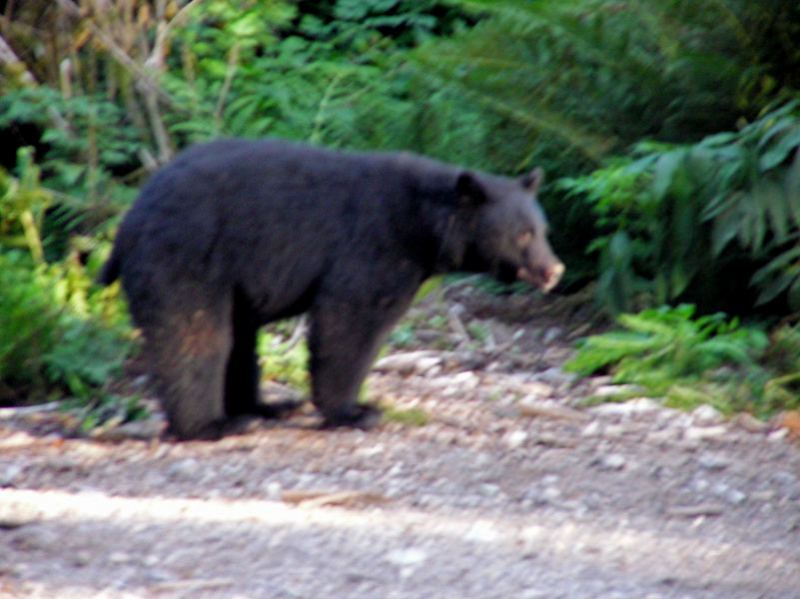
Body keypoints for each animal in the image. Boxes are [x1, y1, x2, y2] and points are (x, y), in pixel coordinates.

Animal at [101, 141, 564, 440]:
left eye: (543, 230)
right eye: (522, 234)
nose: (554, 270)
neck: (422, 224)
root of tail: (127, 223)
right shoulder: (373, 247)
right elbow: (349, 321)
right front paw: (355, 411)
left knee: (237, 338)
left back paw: (264, 407)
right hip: (188, 258)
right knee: (195, 335)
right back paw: (213, 425)